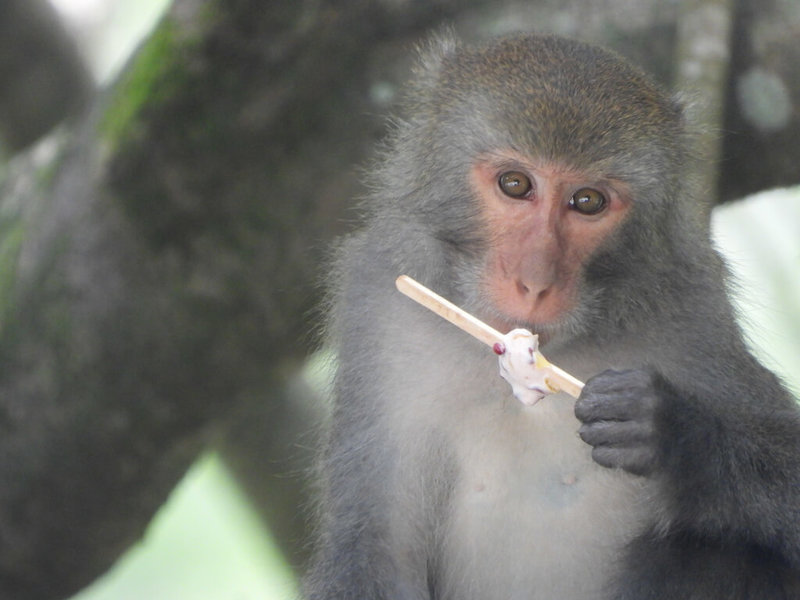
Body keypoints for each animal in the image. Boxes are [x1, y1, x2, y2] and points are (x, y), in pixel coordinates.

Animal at [304, 34, 800, 600]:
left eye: (587, 200)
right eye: (516, 184)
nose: (536, 281)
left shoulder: (696, 309)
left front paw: (678, 432)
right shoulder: (379, 308)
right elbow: (373, 549)